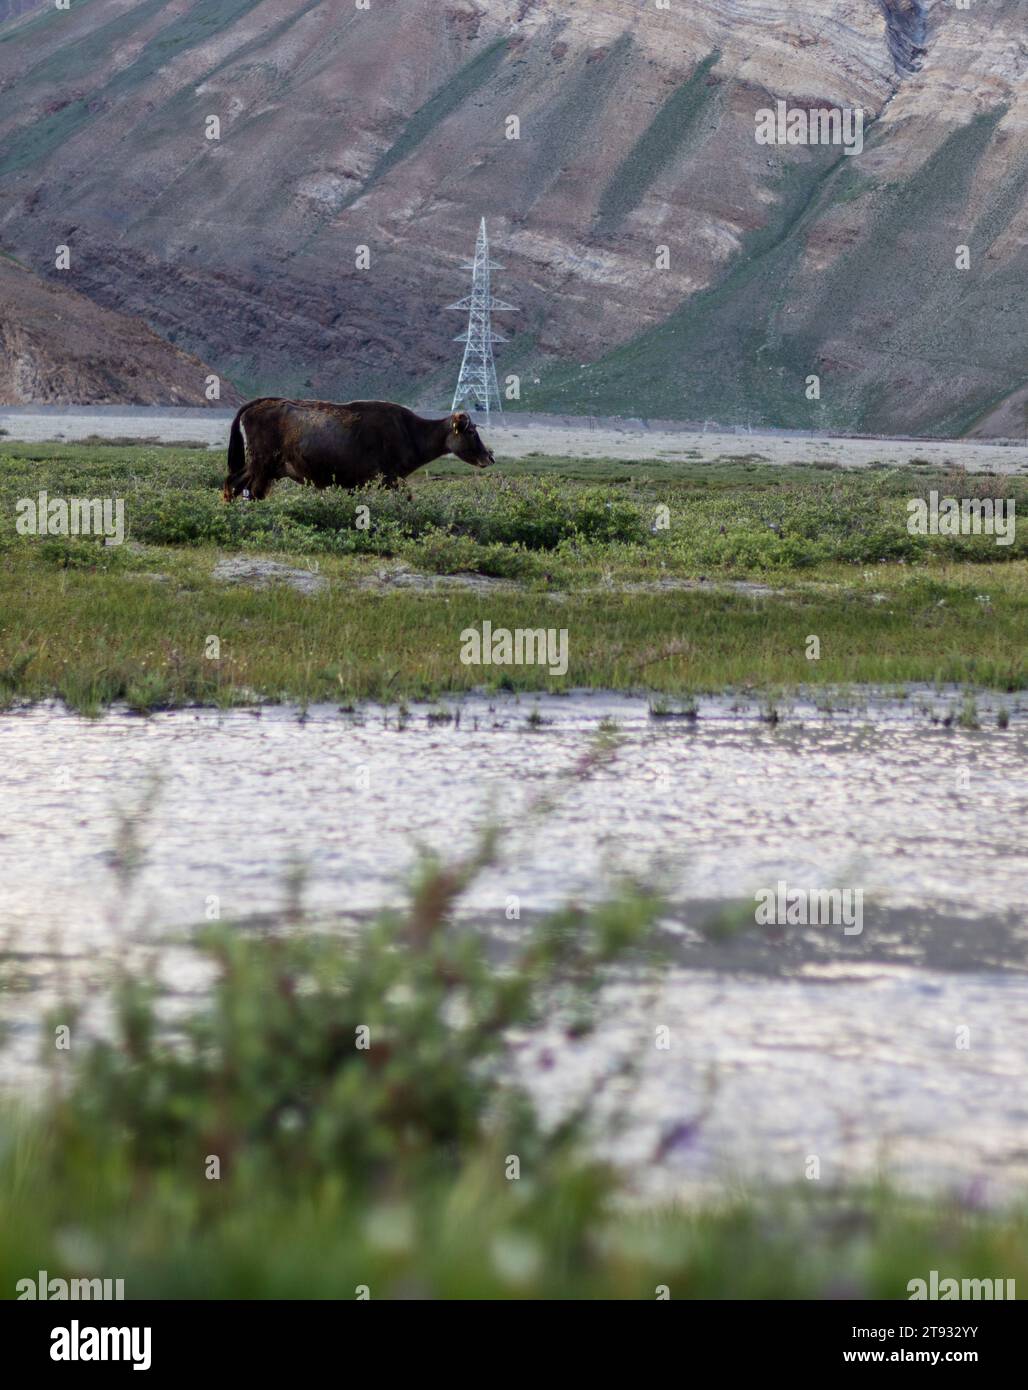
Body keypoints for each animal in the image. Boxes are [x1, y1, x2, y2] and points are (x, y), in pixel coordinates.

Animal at [223, 397, 494, 500]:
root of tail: (260, 403)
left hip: (263, 468)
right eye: (471, 432)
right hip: (261, 465)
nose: (488, 457)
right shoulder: (389, 478)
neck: (410, 432)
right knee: (240, 486)